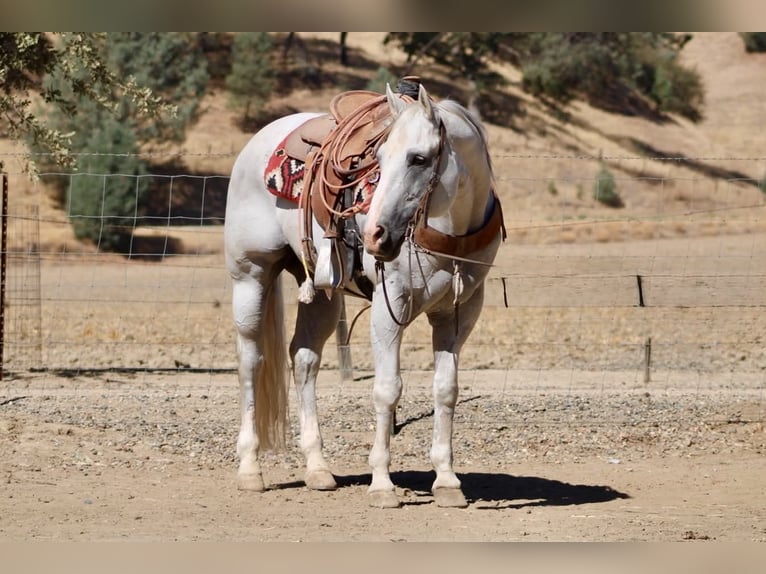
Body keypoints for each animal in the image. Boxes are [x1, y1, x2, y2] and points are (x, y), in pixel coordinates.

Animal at [224, 82, 504, 508]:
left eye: (418, 158)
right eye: (381, 158)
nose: (375, 234)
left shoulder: (460, 312)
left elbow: (446, 391)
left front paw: (447, 481)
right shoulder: (390, 306)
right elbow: (387, 390)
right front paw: (383, 484)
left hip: (321, 292)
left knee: (304, 360)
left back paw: (318, 469)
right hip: (250, 276)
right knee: (251, 362)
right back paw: (250, 469)